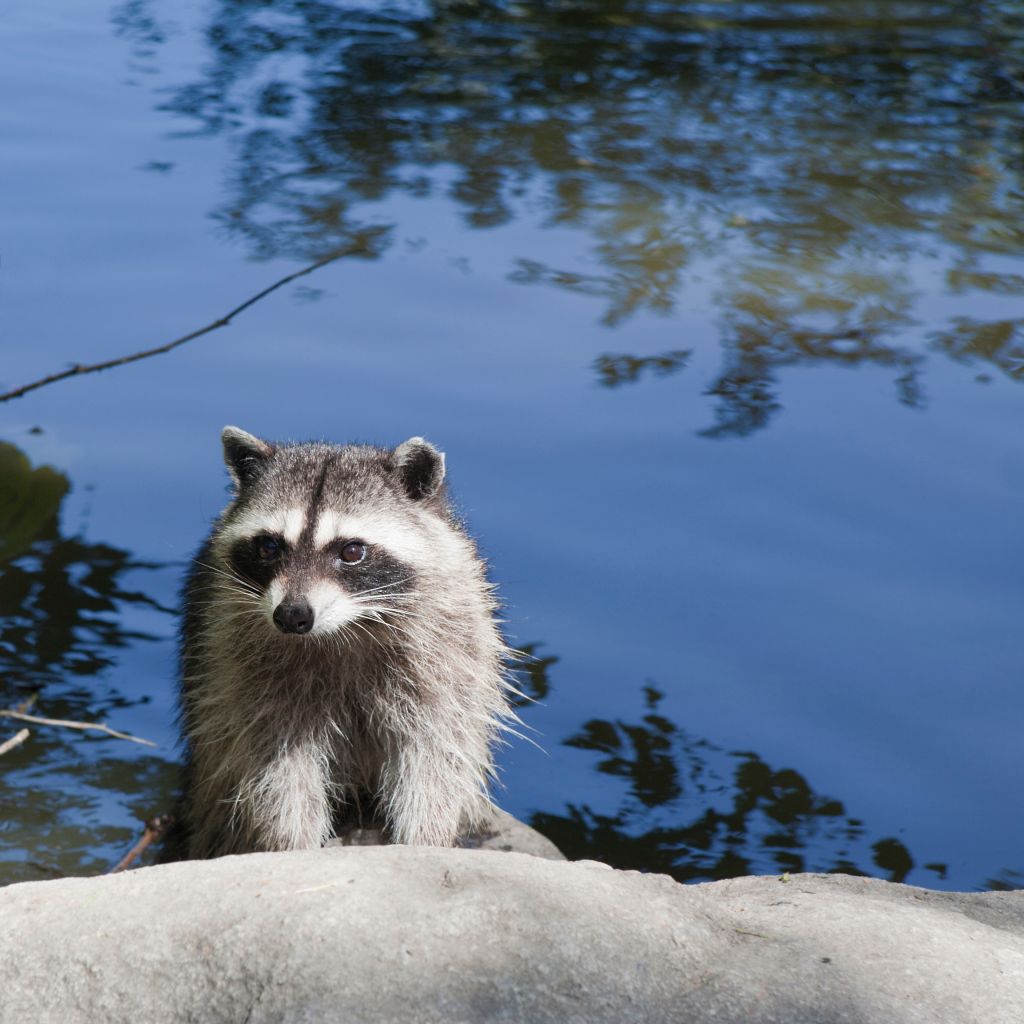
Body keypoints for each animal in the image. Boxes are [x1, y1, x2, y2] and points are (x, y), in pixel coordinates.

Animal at [175, 428, 512, 860]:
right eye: (269, 547)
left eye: (351, 551)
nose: (292, 615)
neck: (343, 629)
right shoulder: (241, 666)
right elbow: (277, 767)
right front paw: (291, 844)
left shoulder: (450, 648)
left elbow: (435, 756)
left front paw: (425, 839)